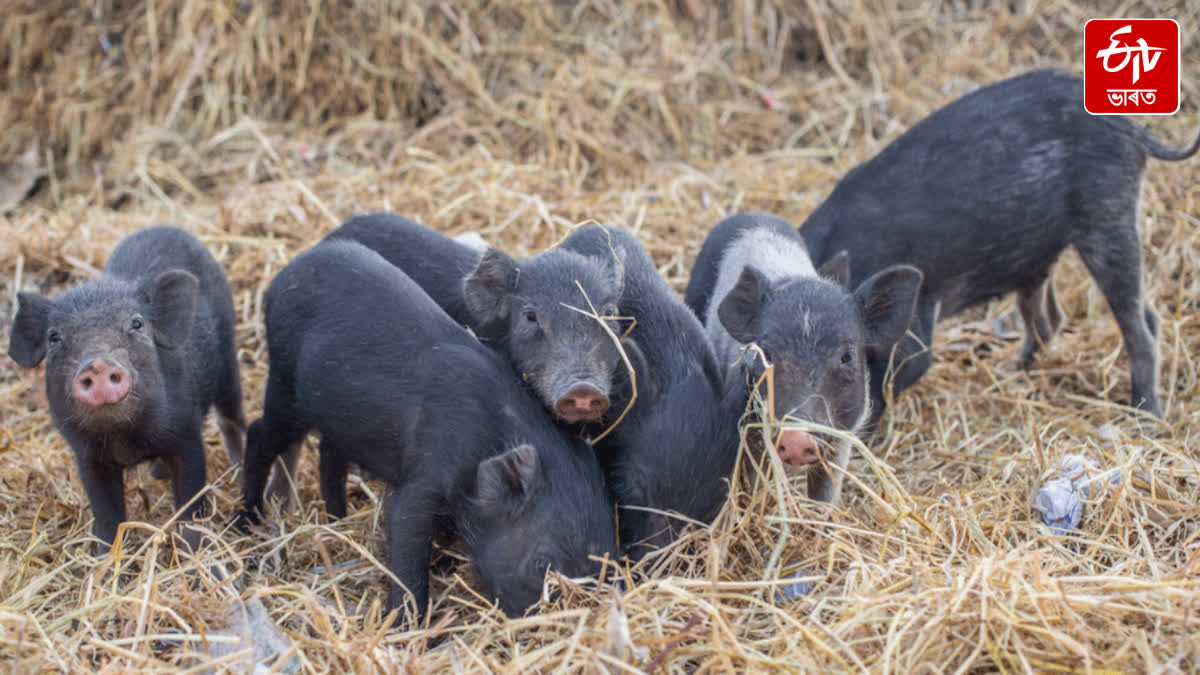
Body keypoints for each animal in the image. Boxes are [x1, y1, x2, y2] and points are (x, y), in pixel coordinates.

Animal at [6, 225, 246, 552]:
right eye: (54, 338)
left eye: (136, 323)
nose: (97, 364)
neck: (125, 439)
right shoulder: (87, 456)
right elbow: (107, 515)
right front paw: (102, 557)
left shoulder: (185, 434)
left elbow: (190, 502)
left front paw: (195, 552)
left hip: (229, 358)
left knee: (231, 417)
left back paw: (239, 469)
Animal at [242, 240, 619, 614]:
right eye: (542, 565)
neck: (487, 436)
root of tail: (284, 276)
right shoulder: (424, 477)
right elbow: (405, 535)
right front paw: (405, 620)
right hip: (285, 385)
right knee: (259, 434)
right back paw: (247, 520)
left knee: (328, 452)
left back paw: (337, 518)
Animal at [686, 212, 916, 502]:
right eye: (766, 354)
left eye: (847, 357)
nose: (796, 439)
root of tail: (754, 215)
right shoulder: (749, 427)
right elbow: (755, 480)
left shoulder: (844, 432)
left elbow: (826, 491)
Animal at [796, 66, 1200, 420]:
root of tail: (1130, 128)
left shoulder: (912, 334)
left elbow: (883, 388)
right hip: (1041, 255)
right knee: (1055, 318)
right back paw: (1011, 370)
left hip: (1109, 217)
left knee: (1137, 326)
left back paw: (1145, 417)